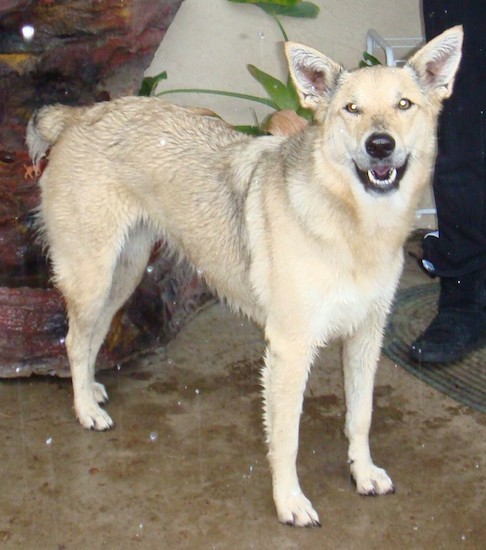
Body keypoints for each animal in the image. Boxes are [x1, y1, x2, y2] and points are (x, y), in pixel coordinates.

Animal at [26, 28, 464, 528]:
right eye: (351, 109)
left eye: (404, 104)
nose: (380, 145)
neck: (353, 226)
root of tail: (78, 115)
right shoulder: (290, 349)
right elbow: (287, 437)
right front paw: (289, 501)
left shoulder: (365, 337)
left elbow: (361, 416)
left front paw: (363, 472)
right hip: (94, 276)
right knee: (74, 341)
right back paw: (84, 409)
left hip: (124, 273)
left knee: (92, 336)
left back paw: (92, 391)